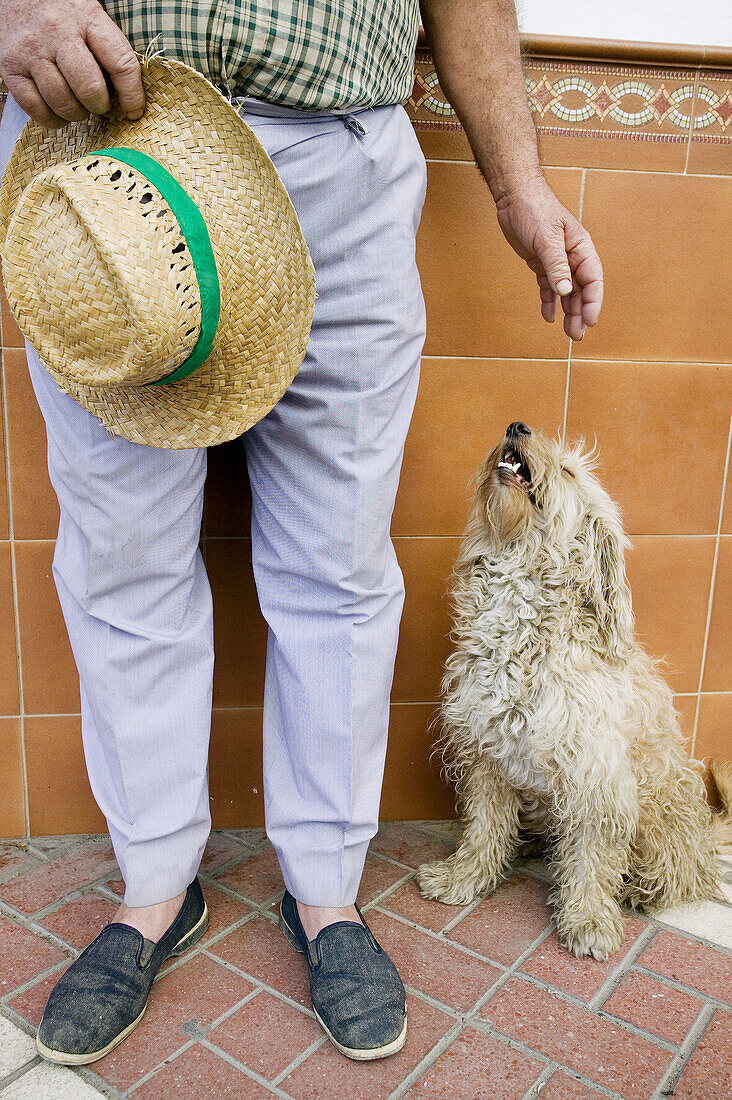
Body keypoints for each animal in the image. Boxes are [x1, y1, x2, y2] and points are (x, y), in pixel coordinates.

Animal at [416, 424, 717, 959]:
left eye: (570, 471)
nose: (517, 426)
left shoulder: (597, 774)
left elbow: (594, 856)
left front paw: (589, 918)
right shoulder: (487, 750)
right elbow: (482, 827)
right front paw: (462, 879)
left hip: (663, 822)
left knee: (677, 874)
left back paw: (636, 888)